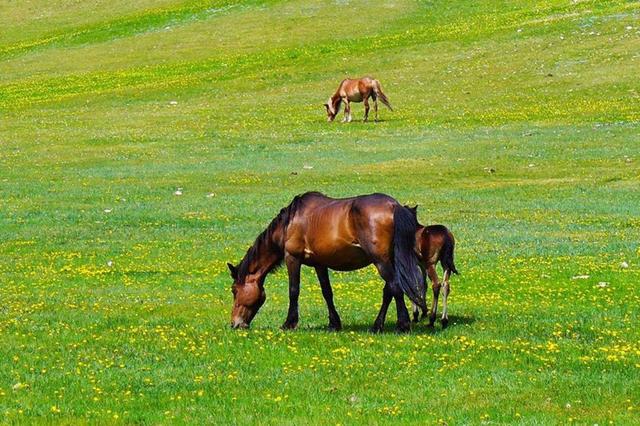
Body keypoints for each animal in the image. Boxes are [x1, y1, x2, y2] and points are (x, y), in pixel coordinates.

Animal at [228, 192, 428, 332]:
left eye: (234, 290)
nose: (235, 324)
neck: (291, 222)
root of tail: (394, 206)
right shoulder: (320, 264)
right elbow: (327, 292)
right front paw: (334, 323)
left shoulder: (292, 258)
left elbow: (293, 291)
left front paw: (289, 323)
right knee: (389, 291)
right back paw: (376, 326)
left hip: (381, 261)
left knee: (395, 287)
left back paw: (402, 324)